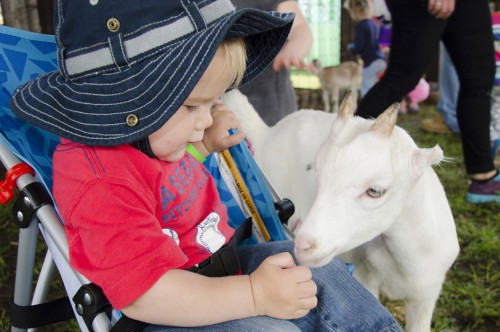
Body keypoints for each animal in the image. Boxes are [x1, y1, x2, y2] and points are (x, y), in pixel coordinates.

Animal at [225, 89, 458, 332]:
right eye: (317, 172)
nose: (304, 245)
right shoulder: (366, 278)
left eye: (375, 190)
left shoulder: (425, 296)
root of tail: (266, 132)